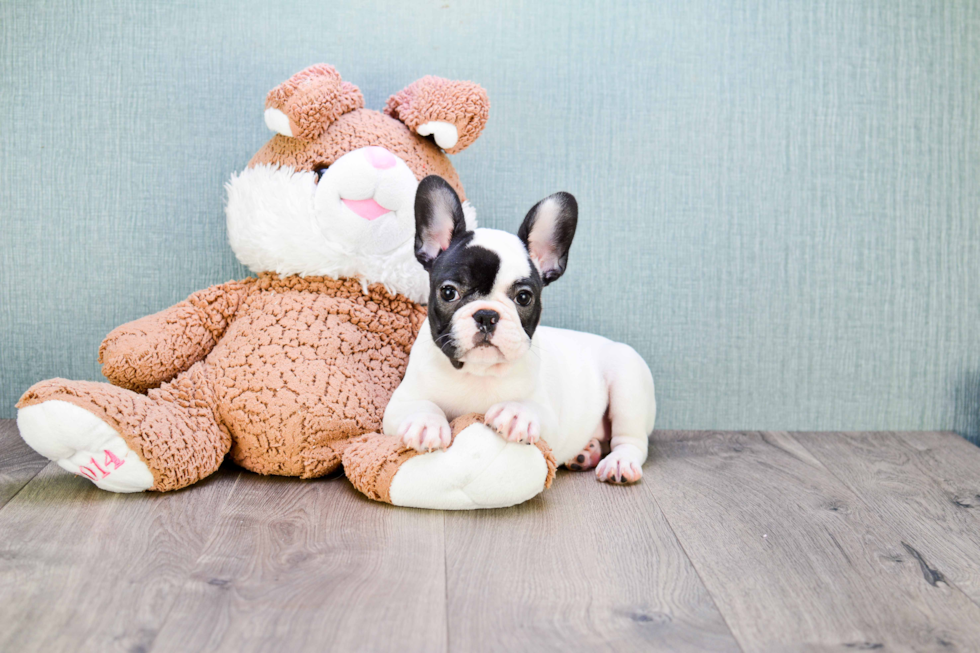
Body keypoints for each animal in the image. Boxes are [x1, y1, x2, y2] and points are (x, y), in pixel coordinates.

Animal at [384, 176, 660, 482]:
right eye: (448, 292)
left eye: (524, 297)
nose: (486, 315)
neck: (477, 373)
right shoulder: (398, 404)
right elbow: (419, 405)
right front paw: (425, 423)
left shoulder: (552, 421)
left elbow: (534, 408)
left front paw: (515, 412)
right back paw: (585, 453)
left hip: (627, 380)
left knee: (631, 440)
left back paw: (619, 462)